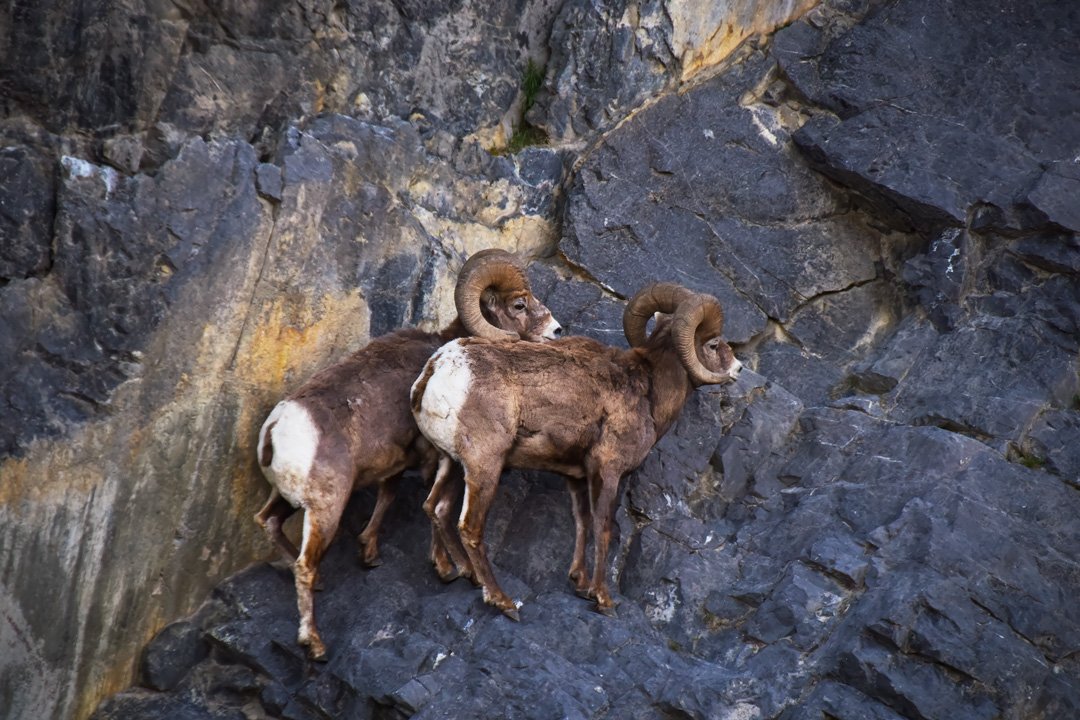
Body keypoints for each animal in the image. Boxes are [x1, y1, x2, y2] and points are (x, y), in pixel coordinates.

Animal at [254, 249, 562, 660]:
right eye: (519, 304)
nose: (556, 331)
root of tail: (277, 429)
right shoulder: (434, 458)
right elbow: (432, 508)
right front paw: (449, 569)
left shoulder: (394, 465)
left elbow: (388, 497)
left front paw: (369, 553)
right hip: (325, 511)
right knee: (306, 564)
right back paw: (315, 644)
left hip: (286, 499)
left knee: (269, 522)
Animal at [410, 282, 741, 619]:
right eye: (714, 344)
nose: (738, 368)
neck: (648, 391)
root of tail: (440, 367)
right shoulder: (607, 470)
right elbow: (603, 528)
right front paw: (603, 600)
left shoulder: (578, 478)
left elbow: (582, 523)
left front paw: (580, 585)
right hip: (485, 468)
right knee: (470, 527)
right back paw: (503, 601)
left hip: (451, 464)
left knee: (435, 507)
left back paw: (457, 572)